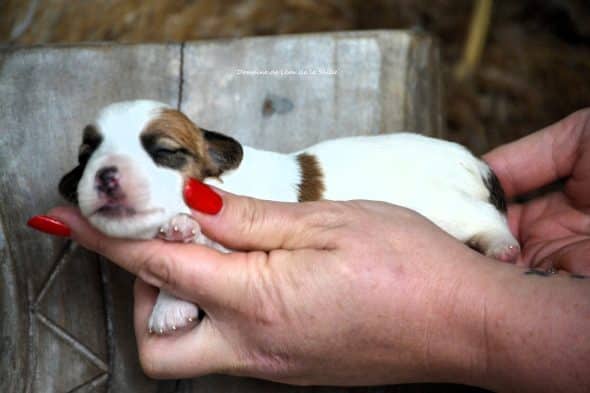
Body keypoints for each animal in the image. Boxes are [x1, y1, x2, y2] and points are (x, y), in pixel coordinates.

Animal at [60, 99, 520, 334]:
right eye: (85, 157)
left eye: (165, 151)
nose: (105, 176)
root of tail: (471, 159)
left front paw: (179, 248)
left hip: (448, 207)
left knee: (488, 218)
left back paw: (501, 246)